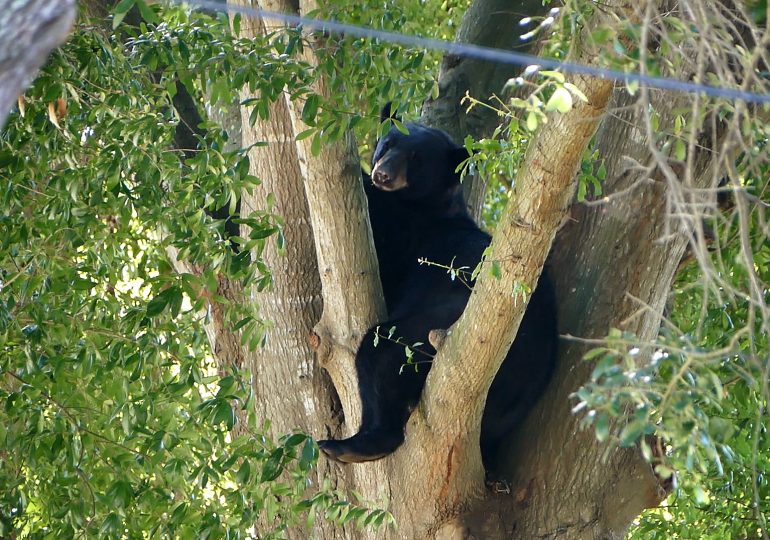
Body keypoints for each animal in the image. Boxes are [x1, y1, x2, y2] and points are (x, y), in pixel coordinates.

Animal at [317, 106, 558, 468]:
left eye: (416, 159)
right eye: (388, 144)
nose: (382, 175)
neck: (430, 205)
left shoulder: (406, 232)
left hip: (442, 321)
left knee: (383, 351)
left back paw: (354, 444)